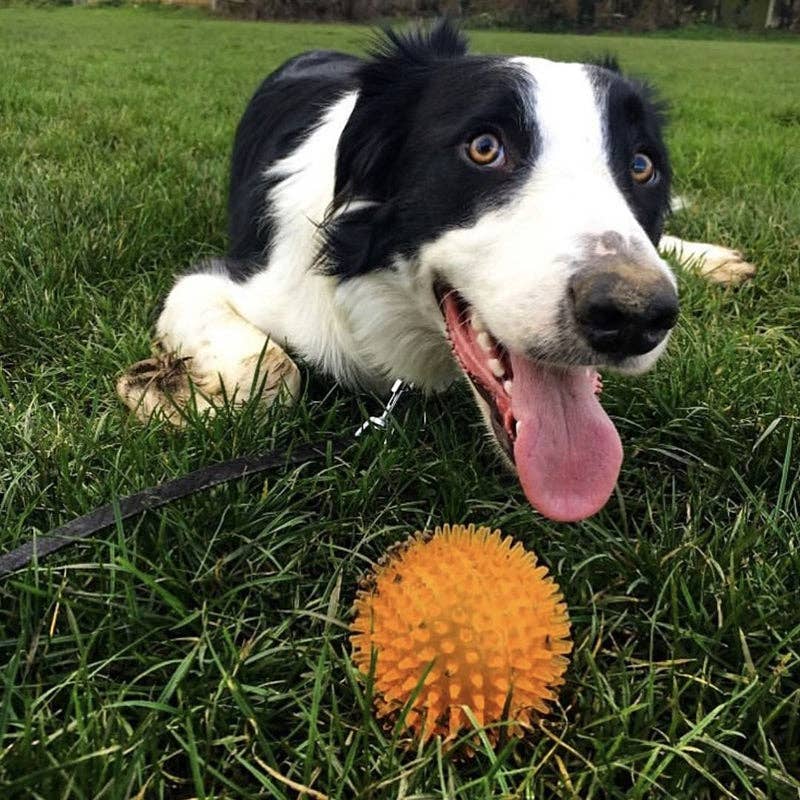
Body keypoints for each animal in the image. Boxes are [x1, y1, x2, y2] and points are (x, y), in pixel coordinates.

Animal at [115, 20, 752, 524]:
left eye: (642, 166)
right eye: (484, 148)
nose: (635, 316)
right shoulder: (213, 284)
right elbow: (270, 373)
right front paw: (163, 391)